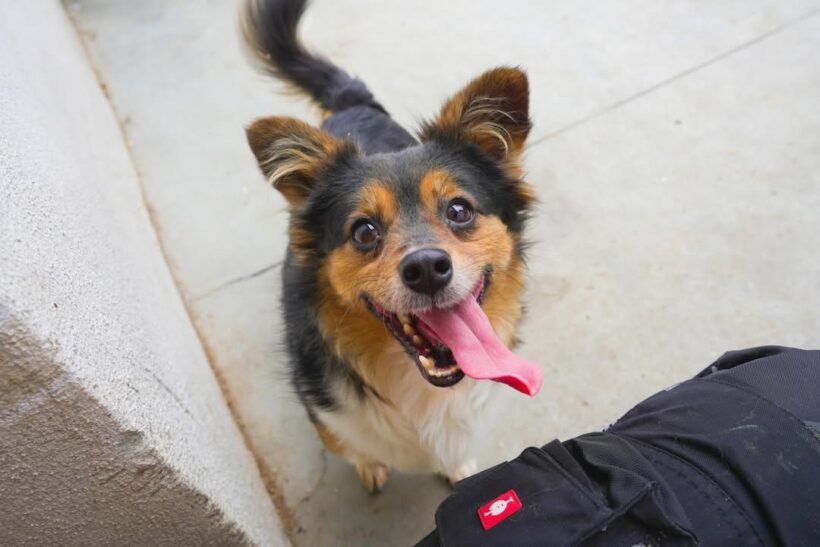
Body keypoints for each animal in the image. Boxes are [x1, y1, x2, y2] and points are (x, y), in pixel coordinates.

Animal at [241, 0, 542, 492]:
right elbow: (349, 444)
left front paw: (457, 467)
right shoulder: (326, 411)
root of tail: (353, 106)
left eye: (459, 210)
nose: (427, 268)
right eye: (363, 232)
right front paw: (370, 465)